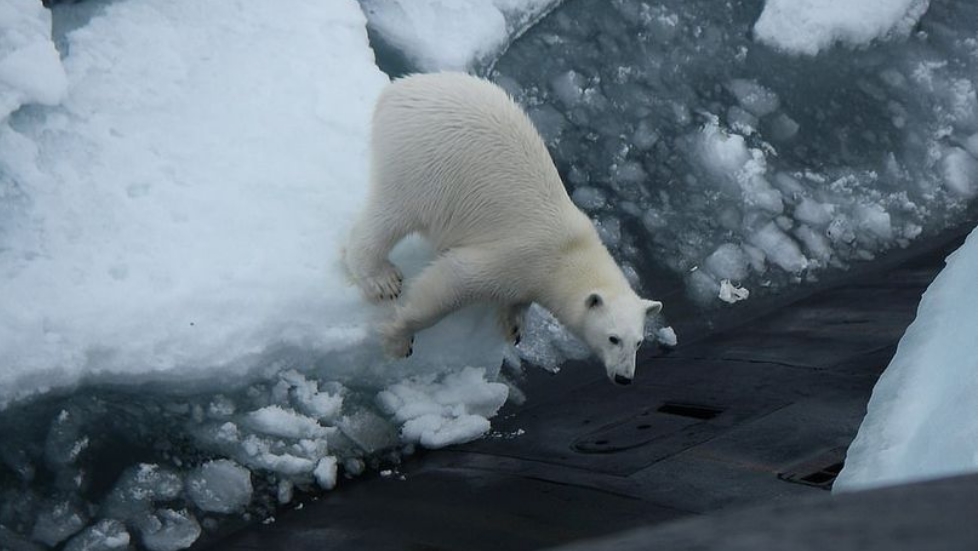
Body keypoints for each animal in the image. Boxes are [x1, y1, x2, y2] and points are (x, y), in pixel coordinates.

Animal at [345, 72, 663, 385]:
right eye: (613, 338)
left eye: (639, 342)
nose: (624, 377)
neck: (569, 253)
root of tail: (398, 89)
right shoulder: (520, 256)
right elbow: (453, 280)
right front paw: (399, 339)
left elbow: (518, 299)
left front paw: (515, 324)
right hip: (422, 163)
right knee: (392, 214)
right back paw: (381, 278)